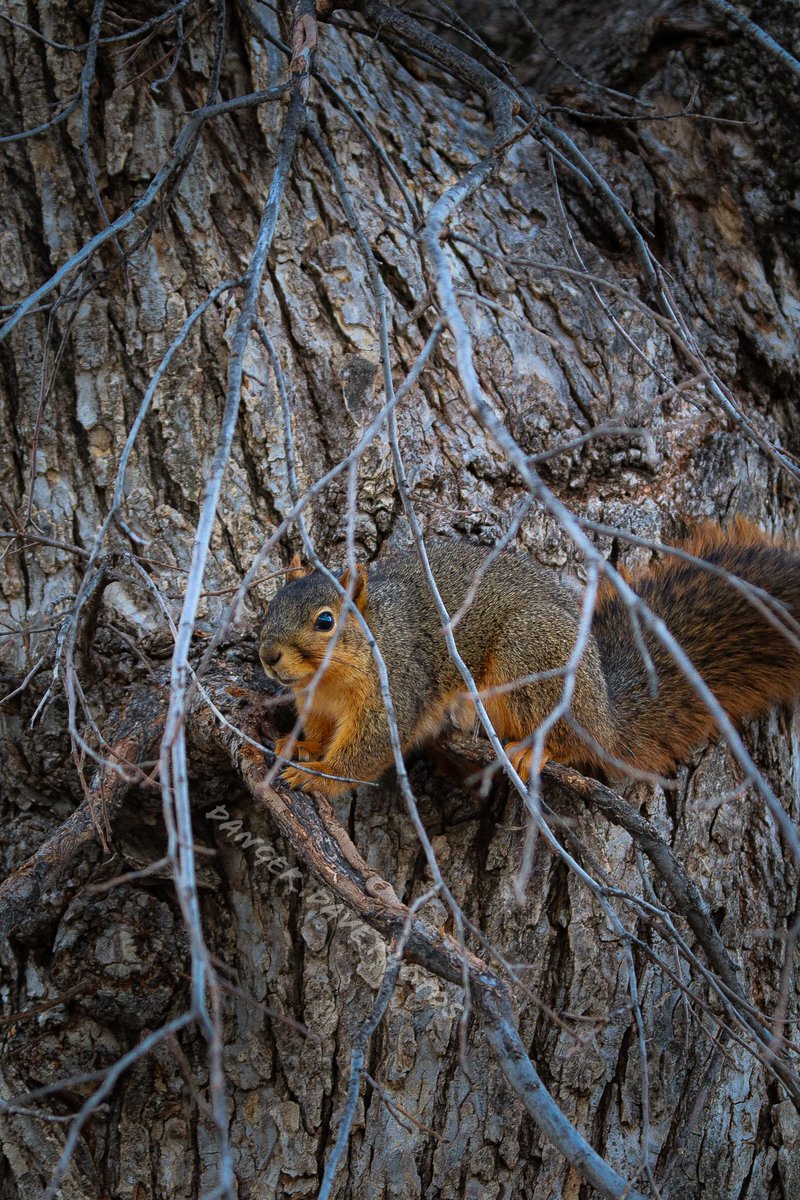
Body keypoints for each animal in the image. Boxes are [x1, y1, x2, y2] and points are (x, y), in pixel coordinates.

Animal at [258, 520, 800, 797]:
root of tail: (604, 713)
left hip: (528, 655)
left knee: (573, 740)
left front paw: (312, 775)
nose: (267, 654)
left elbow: (362, 755)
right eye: (270, 604)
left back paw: (535, 749)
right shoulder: (319, 706)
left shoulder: (400, 688)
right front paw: (300, 747)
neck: (330, 681)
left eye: (325, 621)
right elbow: (321, 733)